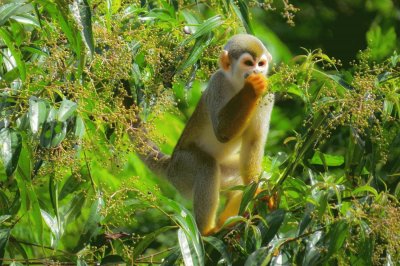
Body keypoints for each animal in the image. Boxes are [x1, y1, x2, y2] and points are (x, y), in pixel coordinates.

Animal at [133, 33, 274, 235]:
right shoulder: (217, 83)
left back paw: (230, 219)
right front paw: (252, 88)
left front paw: (255, 190)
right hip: (182, 170)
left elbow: (253, 141)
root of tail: (170, 164)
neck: (237, 85)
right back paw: (207, 230)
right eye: (248, 63)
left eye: (261, 64)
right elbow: (222, 131)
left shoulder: (268, 95)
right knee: (206, 166)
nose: (257, 72)